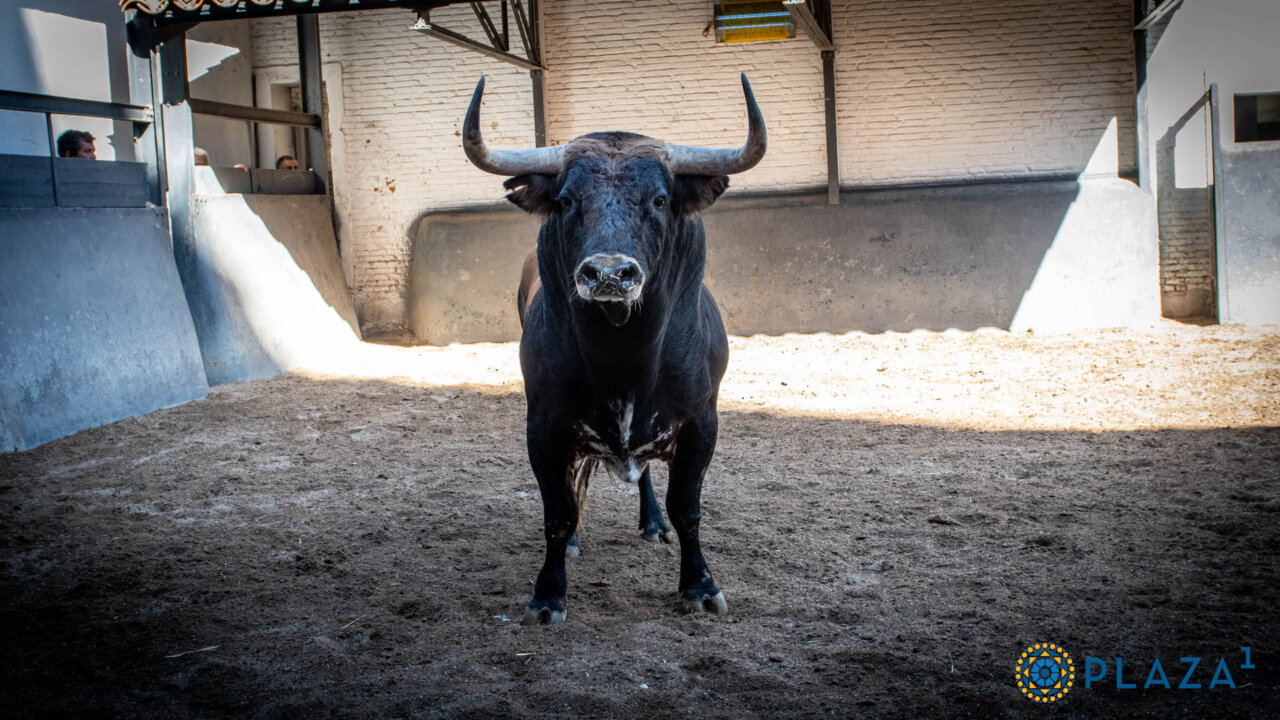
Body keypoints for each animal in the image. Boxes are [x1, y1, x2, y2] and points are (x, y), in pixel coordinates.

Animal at [462, 75, 766, 624]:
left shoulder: (701, 425)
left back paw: (653, 525)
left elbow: (687, 509)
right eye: (566, 201)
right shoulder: (543, 427)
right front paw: (548, 594)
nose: (607, 274)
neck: (623, 354)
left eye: (661, 200)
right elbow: (558, 512)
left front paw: (699, 586)